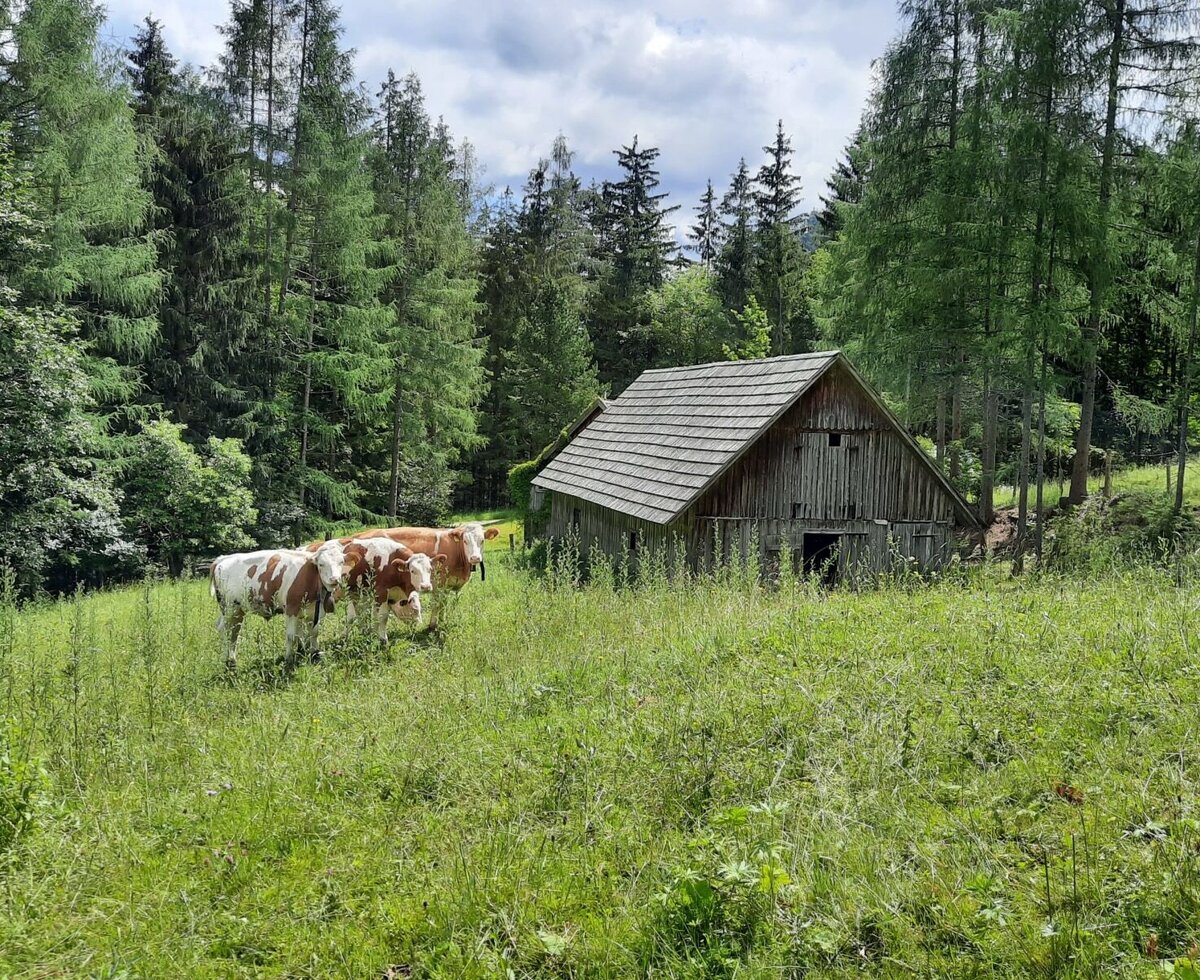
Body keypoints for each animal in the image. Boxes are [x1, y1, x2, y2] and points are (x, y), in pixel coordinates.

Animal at [209, 540, 351, 669]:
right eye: (321, 564)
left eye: (341, 562)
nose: (334, 579)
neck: (310, 576)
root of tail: (222, 559)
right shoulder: (291, 609)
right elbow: (291, 636)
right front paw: (289, 659)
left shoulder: (312, 610)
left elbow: (313, 632)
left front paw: (313, 654)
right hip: (229, 607)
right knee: (225, 628)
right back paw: (228, 660)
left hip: (237, 609)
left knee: (233, 630)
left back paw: (232, 659)